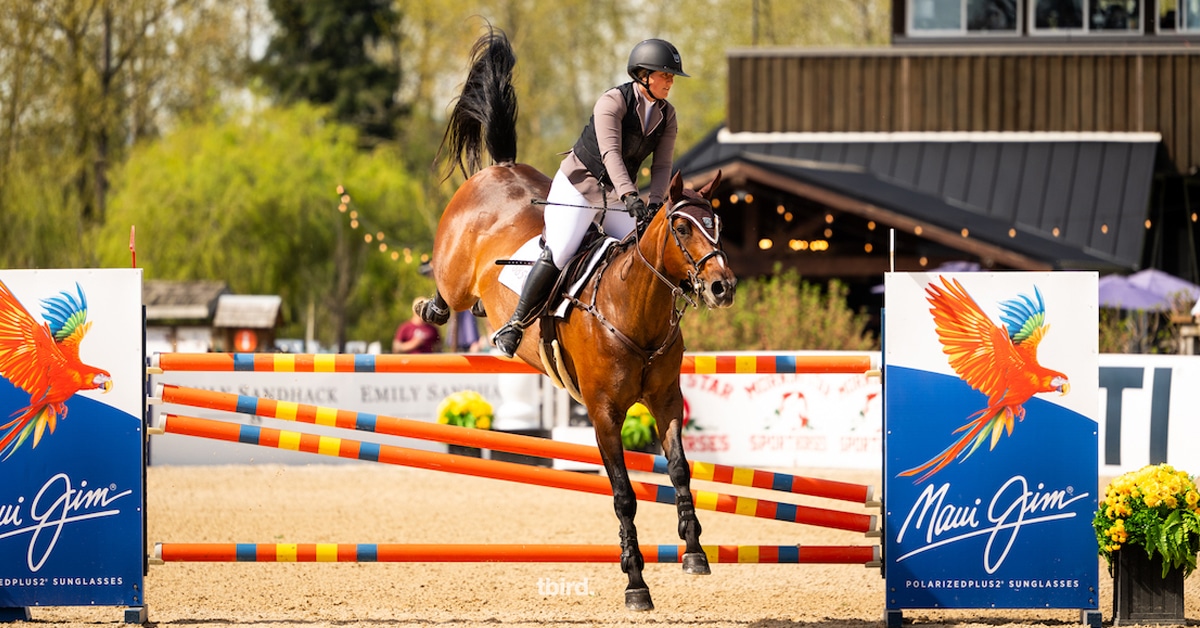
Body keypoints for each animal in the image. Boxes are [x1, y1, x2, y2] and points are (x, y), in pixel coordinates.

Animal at [416, 28, 736, 611]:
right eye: (682, 229)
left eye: (718, 224)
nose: (723, 287)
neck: (634, 311)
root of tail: (499, 169)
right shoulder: (604, 413)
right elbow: (624, 495)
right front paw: (635, 582)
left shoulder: (665, 400)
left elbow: (680, 471)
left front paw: (695, 551)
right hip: (453, 274)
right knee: (445, 298)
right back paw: (448, 314)